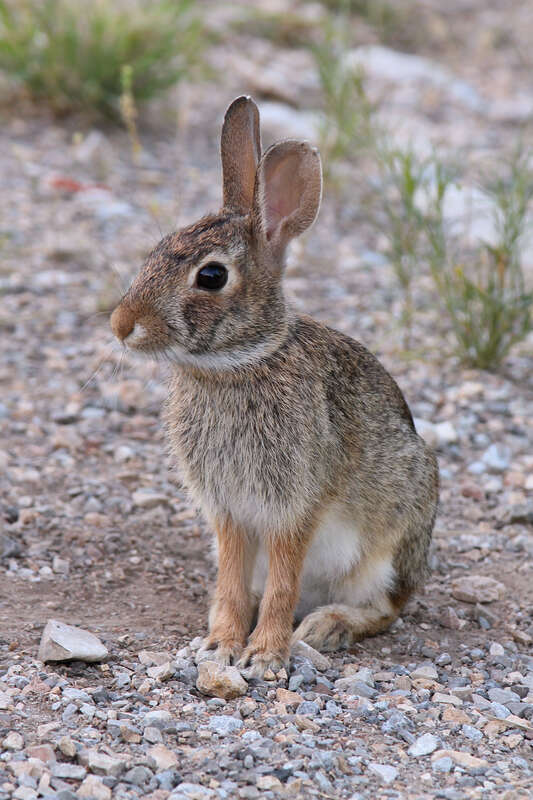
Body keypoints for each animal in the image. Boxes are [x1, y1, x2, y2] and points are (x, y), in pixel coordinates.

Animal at [110, 95, 439, 677]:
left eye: (211, 276)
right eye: (156, 250)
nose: (121, 325)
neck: (238, 364)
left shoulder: (294, 506)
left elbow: (285, 579)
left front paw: (264, 658)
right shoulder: (229, 513)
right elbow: (231, 578)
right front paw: (220, 645)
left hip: (389, 546)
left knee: (384, 608)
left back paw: (326, 627)